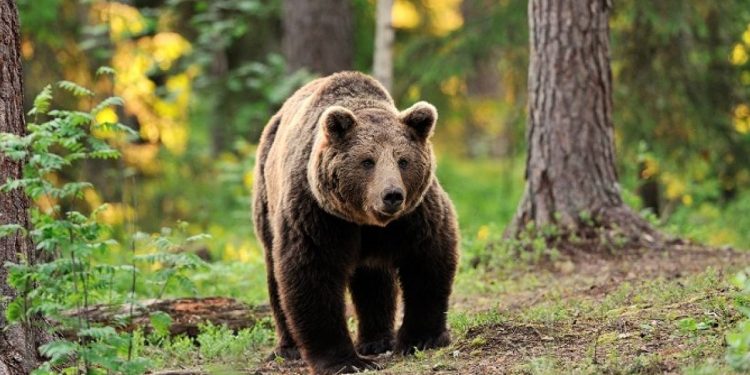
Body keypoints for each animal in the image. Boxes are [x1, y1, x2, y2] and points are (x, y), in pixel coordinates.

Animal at [254, 71, 458, 375]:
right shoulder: (318, 214)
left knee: (373, 278)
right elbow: (312, 275)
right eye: (367, 161)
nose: (392, 195)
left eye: (403, 160)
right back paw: (288, 347)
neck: (364, 220)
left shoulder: (414, 215)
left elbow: (427, 260)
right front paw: (343, 360)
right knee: (275, 275)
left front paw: (422, 338)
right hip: (267, 198)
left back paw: (377, 340)